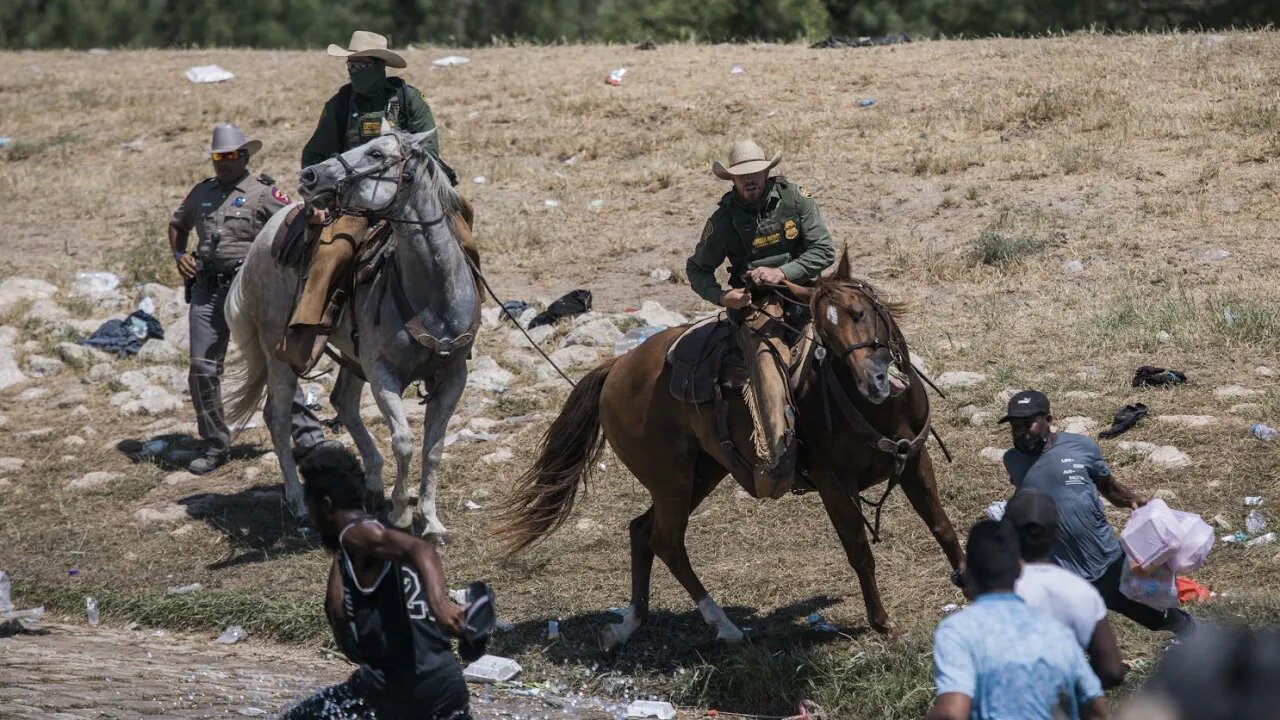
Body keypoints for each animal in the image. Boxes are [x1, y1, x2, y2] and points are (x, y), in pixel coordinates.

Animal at [222, 128, 478, 535]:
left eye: (376, 153)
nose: (309, 176)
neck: (433, 292)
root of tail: (262, 238)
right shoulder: (382, 372)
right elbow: (404, 441)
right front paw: (401, 512)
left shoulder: (454, 373)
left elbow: (433, 447)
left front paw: (430, 519)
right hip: (280, 352)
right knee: (277, 416)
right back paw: (298, 503)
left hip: (351, 353)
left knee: (342, 401)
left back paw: (372, 484)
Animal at [494, 252, 962, 645]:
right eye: (825, 333)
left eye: (860, 312)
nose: (874, 382)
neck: (877, 409)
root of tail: (616, 368)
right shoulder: (834, 486)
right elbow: (860, 553)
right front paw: (883, 623)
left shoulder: (915, 460)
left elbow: (942, 526)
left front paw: (967, 583)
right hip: (672, 482)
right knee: (666, 541)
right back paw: (723, 625)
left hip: (701, 473)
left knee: (641, 531)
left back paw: (629, 624)